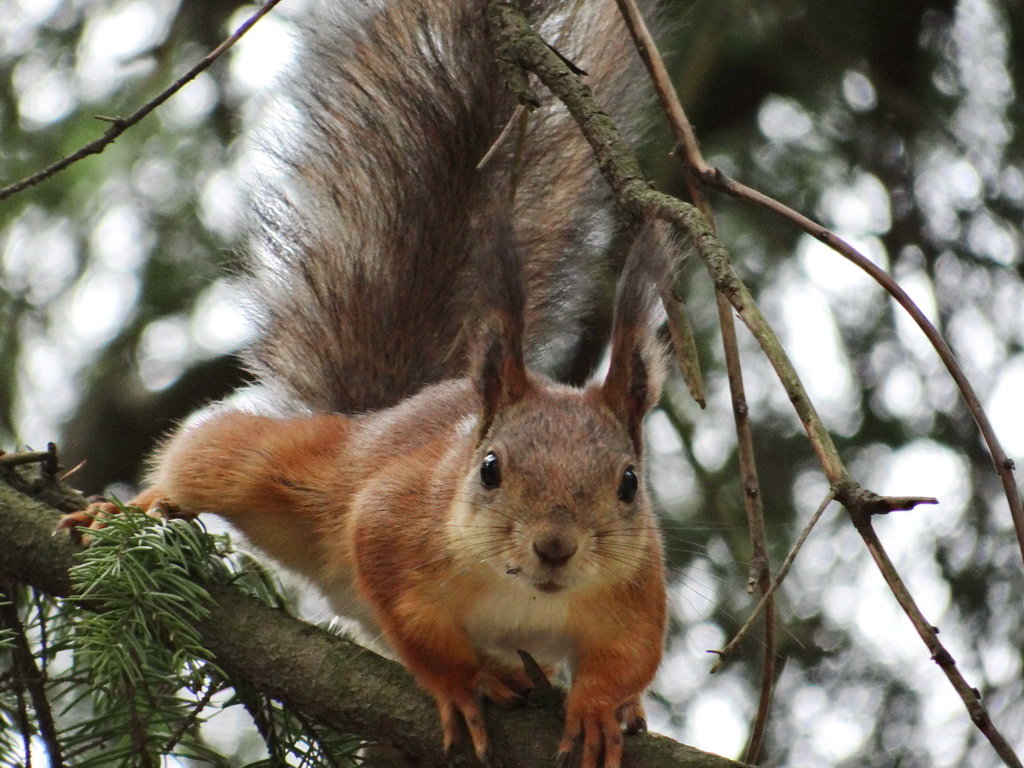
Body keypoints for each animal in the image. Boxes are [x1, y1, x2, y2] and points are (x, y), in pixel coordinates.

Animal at [61, 1, 671, 768]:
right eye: (490, 469)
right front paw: (462, 682)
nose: (555, 546)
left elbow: (630, 658)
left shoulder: (640, 586)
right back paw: (136, 509)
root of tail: (386, 411)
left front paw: (600, 708)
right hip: (291, 469)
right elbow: (412, 620)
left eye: (630, 483)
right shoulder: (392, 521)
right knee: (213, 456)